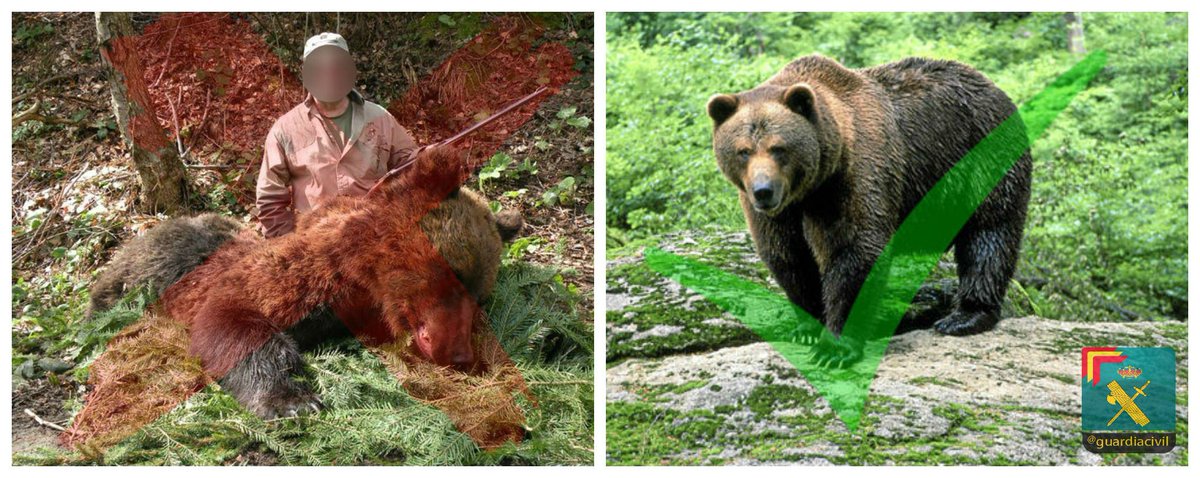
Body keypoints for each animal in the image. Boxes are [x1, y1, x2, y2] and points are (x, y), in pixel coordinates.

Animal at [707, 54, 1031, 366]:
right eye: (743, 150)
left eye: (778, 148)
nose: (763, 191)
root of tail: (995, 87)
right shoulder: (780, 213)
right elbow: (788, 255)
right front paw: (808, 328)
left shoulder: (854, 176)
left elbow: (855, 251)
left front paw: (835, 348)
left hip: (983, 159)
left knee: (989, 233)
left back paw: (964, 316)